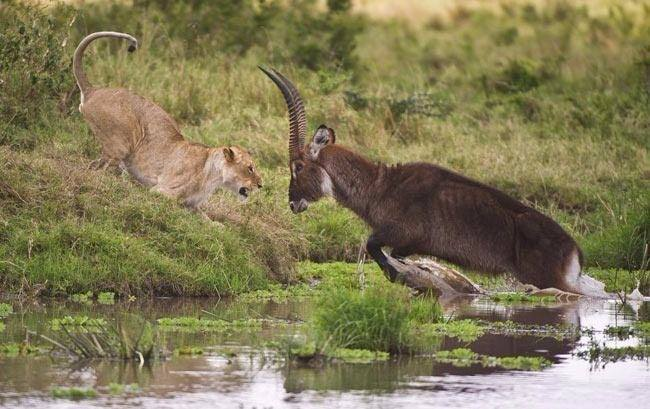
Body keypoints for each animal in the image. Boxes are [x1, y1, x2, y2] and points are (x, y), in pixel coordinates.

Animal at [260, 67, 608, 296]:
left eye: (297, 166)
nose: (292, 202)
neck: (380, 185)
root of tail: (574, 248)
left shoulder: (401, 232)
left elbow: (372, 244)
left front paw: (398, 275)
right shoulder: (410, 242)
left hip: (548, 281)